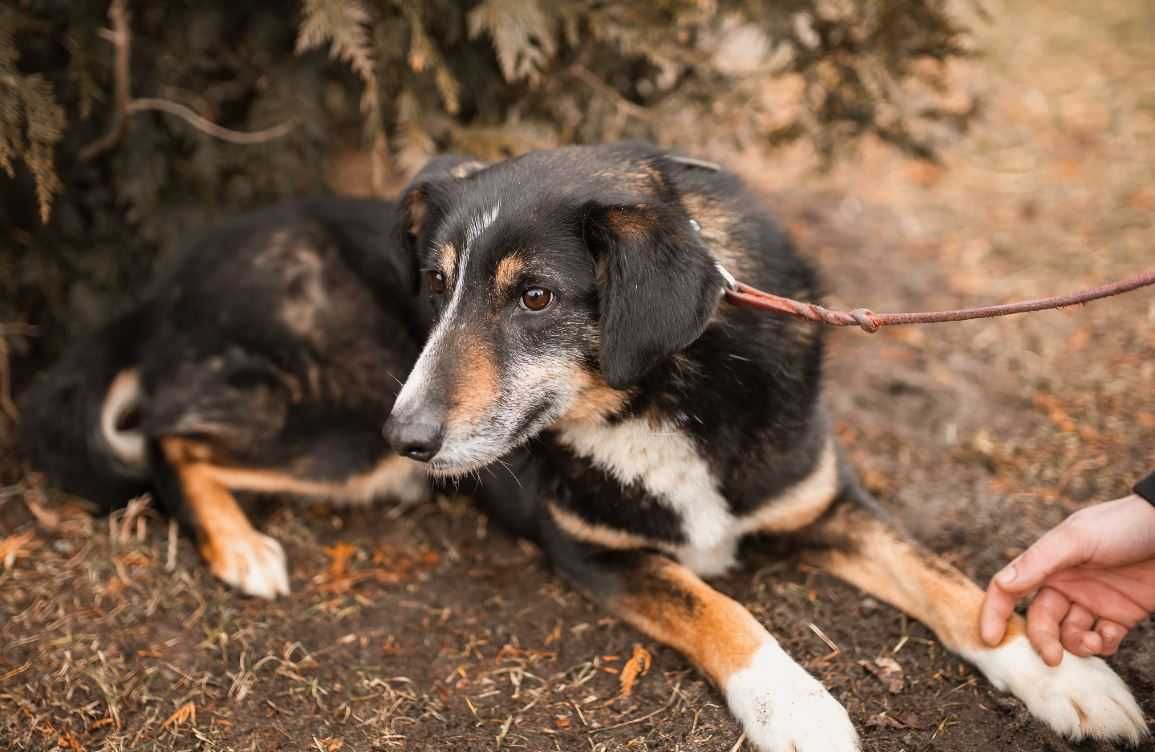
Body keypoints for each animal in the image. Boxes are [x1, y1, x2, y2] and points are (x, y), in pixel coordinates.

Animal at [381, 144, 1145, 748]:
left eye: (535, 297)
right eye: (438, 284)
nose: (403, 437)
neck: (659, 399)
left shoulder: (825, 501)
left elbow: (941, 578)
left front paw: (1059, 672)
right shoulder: (589, 550)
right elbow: (717, 607)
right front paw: (799, 708)